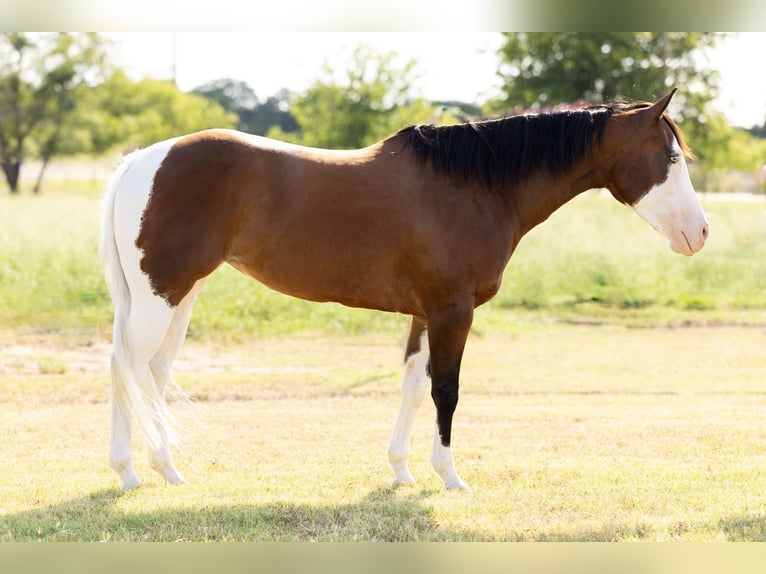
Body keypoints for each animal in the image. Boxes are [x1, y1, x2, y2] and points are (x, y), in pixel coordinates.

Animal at [101, 88, 708, 491]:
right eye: (672, 157)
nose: (699, 233)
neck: (474, 186)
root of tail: (140, 160)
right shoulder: (452, 312)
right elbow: (447, 392)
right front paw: (450, 477)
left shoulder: (426, 314)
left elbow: (414, 388)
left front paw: (401, 470)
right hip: (161, 295)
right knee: (130, 367)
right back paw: (141, 470)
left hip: (179, 296)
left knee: (148, 372)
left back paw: (151, 469)